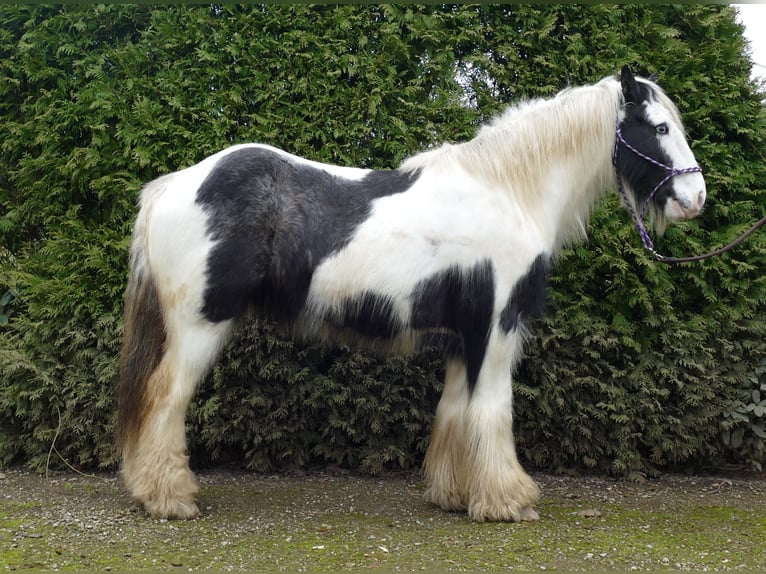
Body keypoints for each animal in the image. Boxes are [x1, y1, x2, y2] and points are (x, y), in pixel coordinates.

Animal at [117, 66, 712, 520]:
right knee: (164, 398)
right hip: (199, 325)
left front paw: (454, 495)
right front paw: (508, 501)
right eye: (659, 126)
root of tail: (172, 186)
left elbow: (454, 411)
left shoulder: (461, 338)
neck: (508, 191)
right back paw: (170, 498)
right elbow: (493, 408)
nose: (696, 198)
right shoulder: (496, 325)